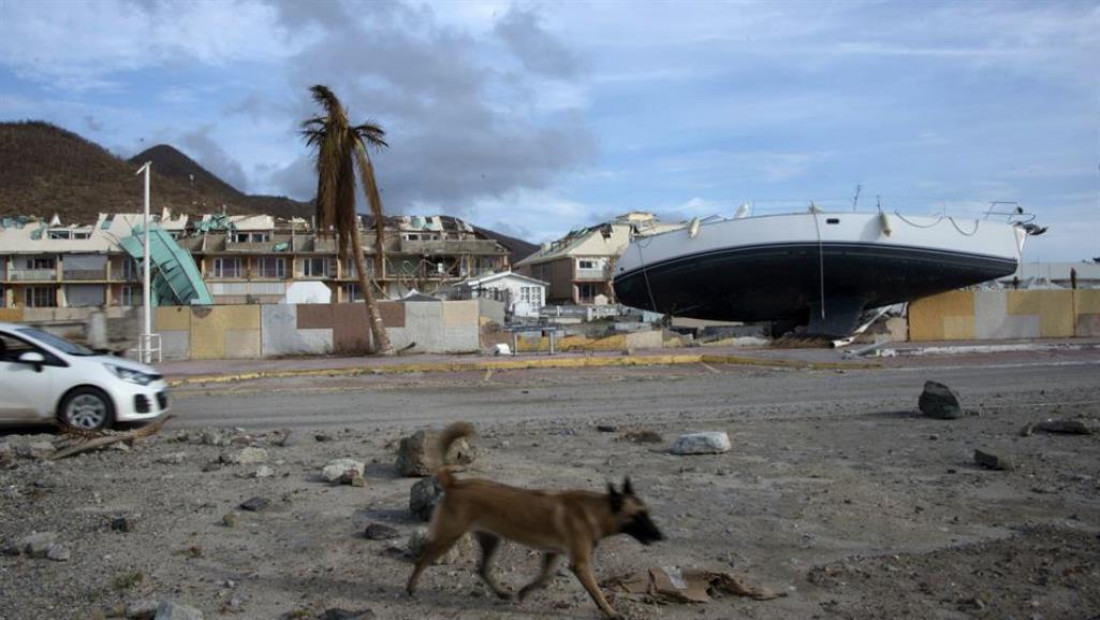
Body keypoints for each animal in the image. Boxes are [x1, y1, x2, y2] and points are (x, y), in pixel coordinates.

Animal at [404, 419, 660, 615]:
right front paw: (611, 612)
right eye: (638, 517)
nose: (661, 536)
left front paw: (524, 592)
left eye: (646, 513)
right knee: (422, 559)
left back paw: (501, 593)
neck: (596, 510)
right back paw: (410, 588)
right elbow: (597, 592)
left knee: (482, 569)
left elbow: (544, 578)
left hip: (490, 540)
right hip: (448, 537)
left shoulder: (552, 553)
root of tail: (455, 483)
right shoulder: (580, 564)